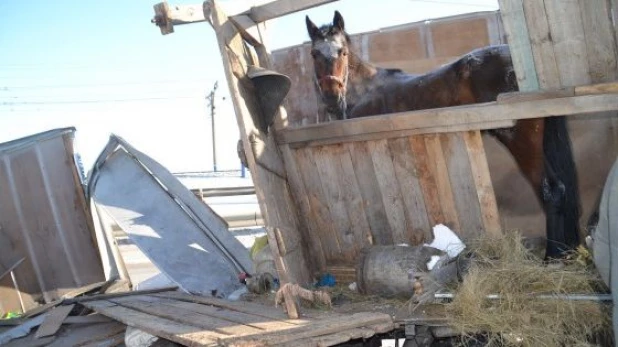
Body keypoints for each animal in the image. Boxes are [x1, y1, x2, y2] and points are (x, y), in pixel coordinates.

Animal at [306, 10, 580, 260]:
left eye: (342, 52)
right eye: (314, 54)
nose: (331, 98)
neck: (365, 91)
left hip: (522, 141)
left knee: (551, 191)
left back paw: (551, 257)